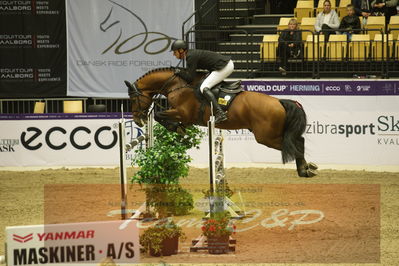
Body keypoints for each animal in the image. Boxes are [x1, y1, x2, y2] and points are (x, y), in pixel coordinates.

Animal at [125, 67, 318, 178]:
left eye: (133, 99)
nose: (138, 120)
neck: (177, 85)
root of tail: (279, 102)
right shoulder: (184, 116)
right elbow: (164, 118)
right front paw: (180, 129)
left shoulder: (182, 113)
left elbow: (159, 116)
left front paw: (177, 129)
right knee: (299, 141)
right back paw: (306, 169)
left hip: (266, 137)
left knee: (295, 144)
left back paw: (304, 170)